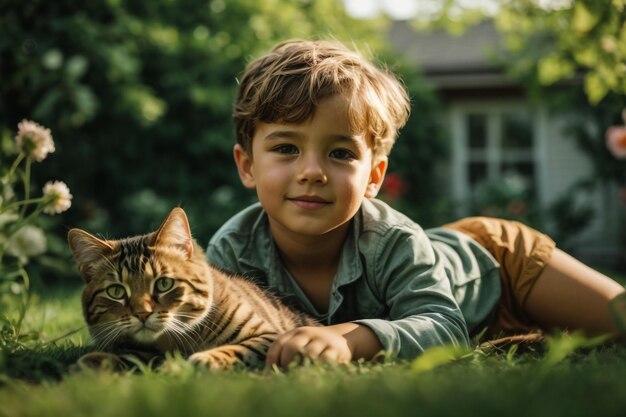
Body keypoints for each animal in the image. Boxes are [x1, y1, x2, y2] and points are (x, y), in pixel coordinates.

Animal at [68, 207, 316, 368]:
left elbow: (239, 350)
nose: (142, 314)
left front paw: (205, 359)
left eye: (163, 283)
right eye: (116, 291)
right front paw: (97, 362)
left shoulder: (270, 335)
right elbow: (135, 357)